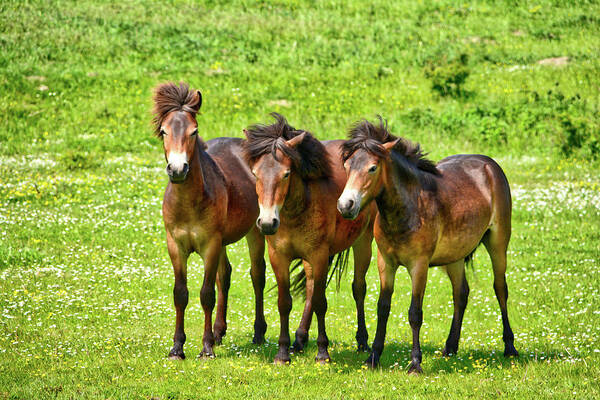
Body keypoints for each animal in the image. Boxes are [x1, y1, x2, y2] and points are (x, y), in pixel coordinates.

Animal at [152, 81, 268, 360]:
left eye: (194, 131)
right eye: (164, 131)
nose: (178, 169)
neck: (188, 203)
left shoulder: (210, 245)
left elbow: (206, 294)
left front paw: (206, 348)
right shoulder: (175, 246)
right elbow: (180, 293)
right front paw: (177, 348)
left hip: (255, 232)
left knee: (257, 275)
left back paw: (258, 333)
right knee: (225, 275)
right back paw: (219, 332)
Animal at [244, 114, 376, 364]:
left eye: (286, 174)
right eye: (255, 174)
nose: (266, 223)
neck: (297, 209)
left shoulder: (319, 255)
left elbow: (320, 302)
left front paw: (323, 353)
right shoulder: (279, 257)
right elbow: (285, 303)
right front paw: (282, 352)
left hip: (363, 242)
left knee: (358, 288)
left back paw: (363, 341)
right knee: (311, 287)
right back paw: (299, 339)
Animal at [338, 117, 520, 374]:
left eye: (372, 168)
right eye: (347, 166)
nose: (346, 205)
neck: (408, 208)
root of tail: (489, 165)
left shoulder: (419, 266)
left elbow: (415, 313)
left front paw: (415, 363)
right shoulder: (386, 263)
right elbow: (383, 308)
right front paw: (373, 357)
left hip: (498, 243)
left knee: (500, 288)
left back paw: (510, 347)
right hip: (455, 256)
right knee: (461, 293)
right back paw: (450, 347)